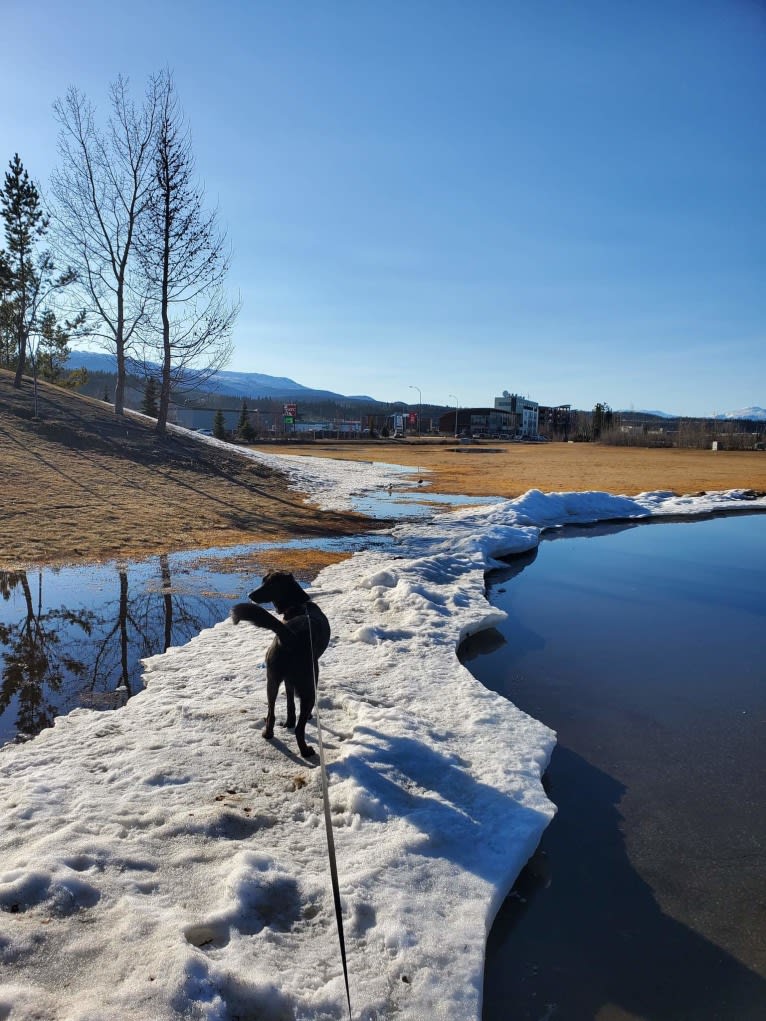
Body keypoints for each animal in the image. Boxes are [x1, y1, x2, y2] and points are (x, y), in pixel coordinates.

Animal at [232, 575, 330, 759]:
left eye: (268, 584)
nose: (250, 595)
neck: (298, 605)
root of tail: (290, 636)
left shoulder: (287, 680)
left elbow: (290, 702)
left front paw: (288, 722)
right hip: (309, 686)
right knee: (300, 729)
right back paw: (306, 751)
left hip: (272, 680)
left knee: (271, 713)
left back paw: (268, 734)